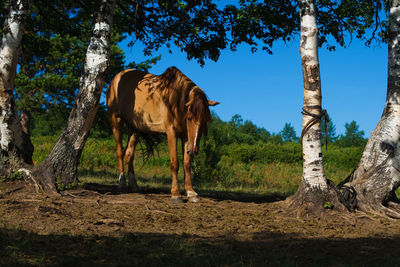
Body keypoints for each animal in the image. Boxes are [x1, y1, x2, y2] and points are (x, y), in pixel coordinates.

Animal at [106, 66, 219, 203]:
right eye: (189, 118)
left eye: (205, 120)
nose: (193, 150)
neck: (175, 99)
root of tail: (117, 77)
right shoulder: (171, 133)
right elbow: (175, 163)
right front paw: (176, 194)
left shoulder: (186, 136)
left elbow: (187, 164)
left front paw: (191, 193)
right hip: (116, 121)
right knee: (120, 152)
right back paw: (121, 183)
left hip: (135, 128)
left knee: (129, 154)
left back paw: (134, 186)